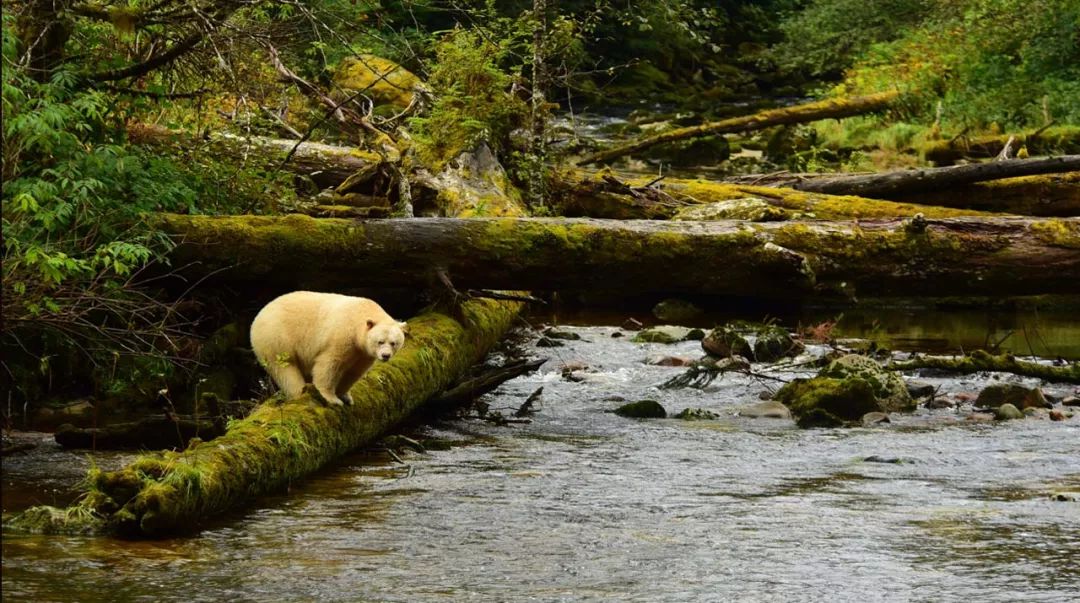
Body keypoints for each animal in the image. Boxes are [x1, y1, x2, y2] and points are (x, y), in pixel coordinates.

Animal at [248, 291, 408, 406]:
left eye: (393, 343)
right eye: (380, 342)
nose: (385, 355)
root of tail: (258, 316)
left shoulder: (363, 353)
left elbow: (354, 371)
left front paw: (346, 396)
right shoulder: (341, 335)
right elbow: (330, 364)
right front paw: (332, 398)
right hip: (276, 338)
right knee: (285, 368)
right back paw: (299, 392)